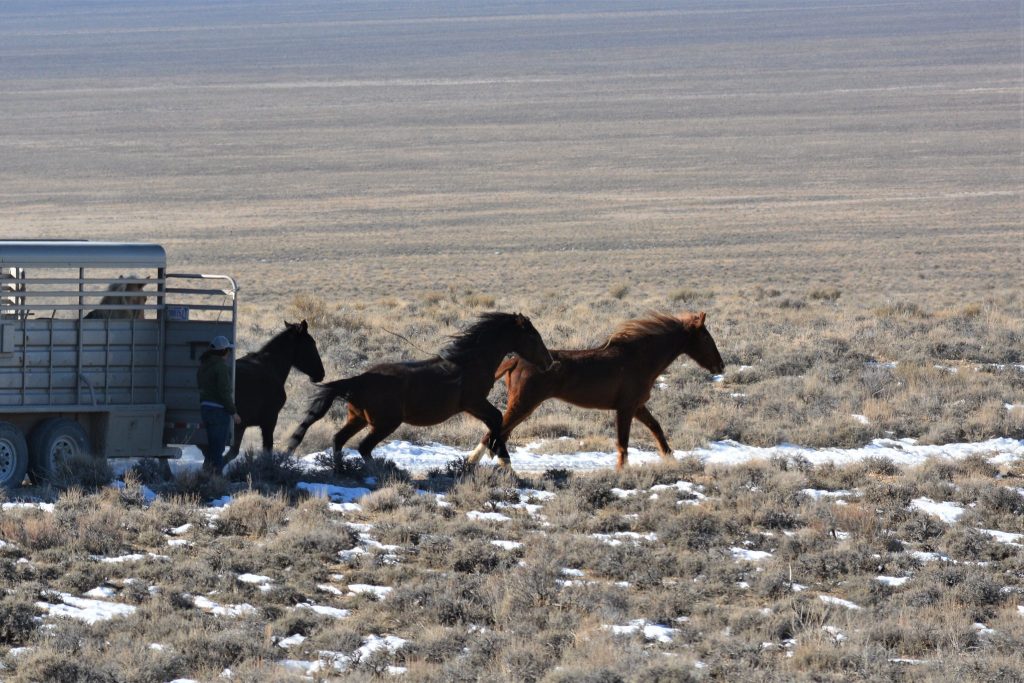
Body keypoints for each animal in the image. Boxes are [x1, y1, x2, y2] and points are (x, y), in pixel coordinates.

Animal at [284, 311, 557, 466]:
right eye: (533, 336)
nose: (549, 362)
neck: (471, 361)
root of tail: (358, 380)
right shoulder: (474, 402)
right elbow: (497, 419)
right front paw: (501, 458)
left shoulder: (474, 405)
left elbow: (496, 421)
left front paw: (494, 454)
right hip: (385, 423)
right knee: (363, 447)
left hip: (358, 418)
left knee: (338, 440)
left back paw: (342, 472)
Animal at [468, 313, 724, 471]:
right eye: (706, 337)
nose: (720, 366)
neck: (639, 358)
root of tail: (515, 361)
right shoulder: (625, 408)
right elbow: (623, 441)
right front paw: (622, 471)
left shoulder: (637, 406)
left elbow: (656, 428)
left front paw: (671, 459)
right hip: (524, 404)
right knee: (494, 433)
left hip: (523, 406)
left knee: (498, 434)